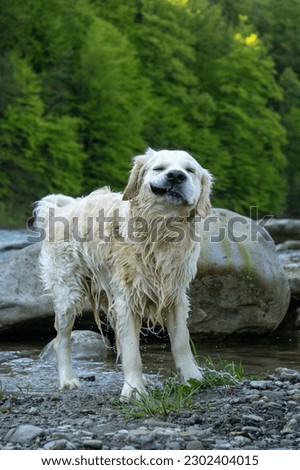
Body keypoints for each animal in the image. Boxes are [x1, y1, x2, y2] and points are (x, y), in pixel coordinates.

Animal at [35, 149, 212, 398]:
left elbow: (180, 342)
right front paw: (134, 390)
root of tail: (60, 209)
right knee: (62, 339)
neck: (159, 231)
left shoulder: (174, 295)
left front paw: (192, 379)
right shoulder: (127, 299)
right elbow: (131, 350)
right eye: (159, 168)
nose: (176, 176)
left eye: (190, 170)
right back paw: (68, 379)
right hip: (68, 292)